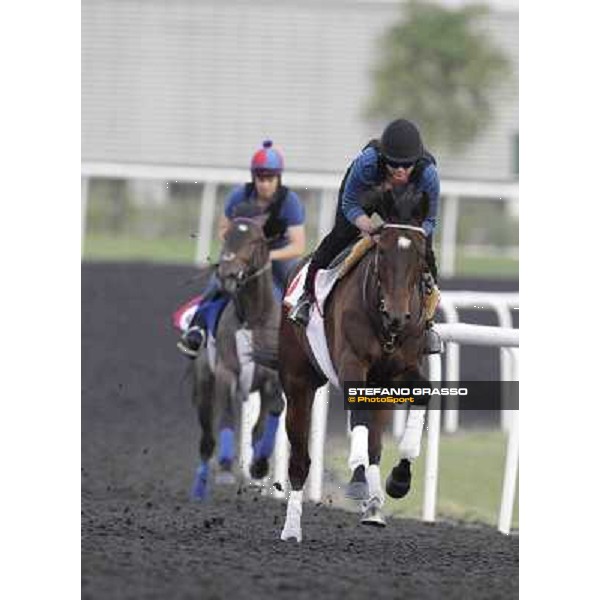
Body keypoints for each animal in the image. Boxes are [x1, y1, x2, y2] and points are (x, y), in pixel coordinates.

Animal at [192, 218, 286, 500]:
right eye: (226, 236)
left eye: (254, 241)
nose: (227, 274)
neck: (253, 318)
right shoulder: (226, 372)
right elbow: (225, 417)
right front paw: (225, 468)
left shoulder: (271, 380)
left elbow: (266, 420)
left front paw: (259, 466)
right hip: (204, 383)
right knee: (207, 440)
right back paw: (200, 489)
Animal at [278, 186, 434, 540]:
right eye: (382, 252)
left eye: (420, 255)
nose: (397, 316)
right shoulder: (352, 365)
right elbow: (358, 417)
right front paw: (359, 480)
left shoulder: (402, 369)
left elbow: (424, 394)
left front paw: (400, 478)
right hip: (298, 381)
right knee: (299, 460)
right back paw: (292, 528)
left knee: (375, 445)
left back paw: (374, 508)